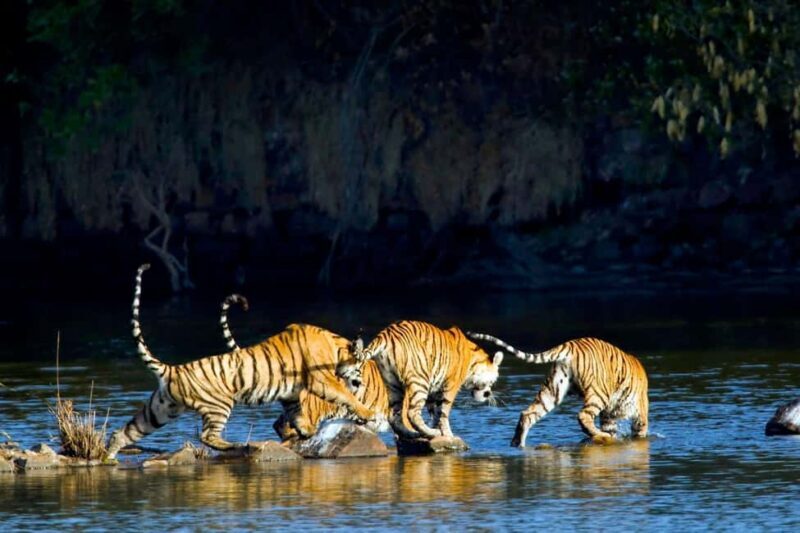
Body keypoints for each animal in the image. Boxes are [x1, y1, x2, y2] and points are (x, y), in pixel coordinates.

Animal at [105, 264, 375, 459]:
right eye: (361, 366)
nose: (361, 382)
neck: (334, 346)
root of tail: (172, 370)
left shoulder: (291, 394)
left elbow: (296, 412)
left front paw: (307, 430)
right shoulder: (322, 381)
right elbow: (345, 396)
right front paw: (367, 412)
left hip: (160, 409)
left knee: (125, 430)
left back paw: (108, 457)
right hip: (218, 405)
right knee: (207, 436)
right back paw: (239, 446)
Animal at [355, 320, 504, 440]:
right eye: (492, 382)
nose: (488, 394)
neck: (473, 363)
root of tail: (385, 334)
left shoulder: (436, 390)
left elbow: (436, 414)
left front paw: (440, 431)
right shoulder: (450, 386)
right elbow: (444, 413)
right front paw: (448, 435)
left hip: (392, 384)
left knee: (393, 416)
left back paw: (412, 434)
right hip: (420, 381)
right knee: (411, 413)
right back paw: (431, 433)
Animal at [466, 333, 648, 447]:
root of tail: (570, 344)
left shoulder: (609, 416)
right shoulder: (639, 414)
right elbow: (640, 432)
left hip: (553, 390)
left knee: (527, 414)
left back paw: (517, 444)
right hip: (599, 393)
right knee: (583, 416)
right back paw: (599, 436)